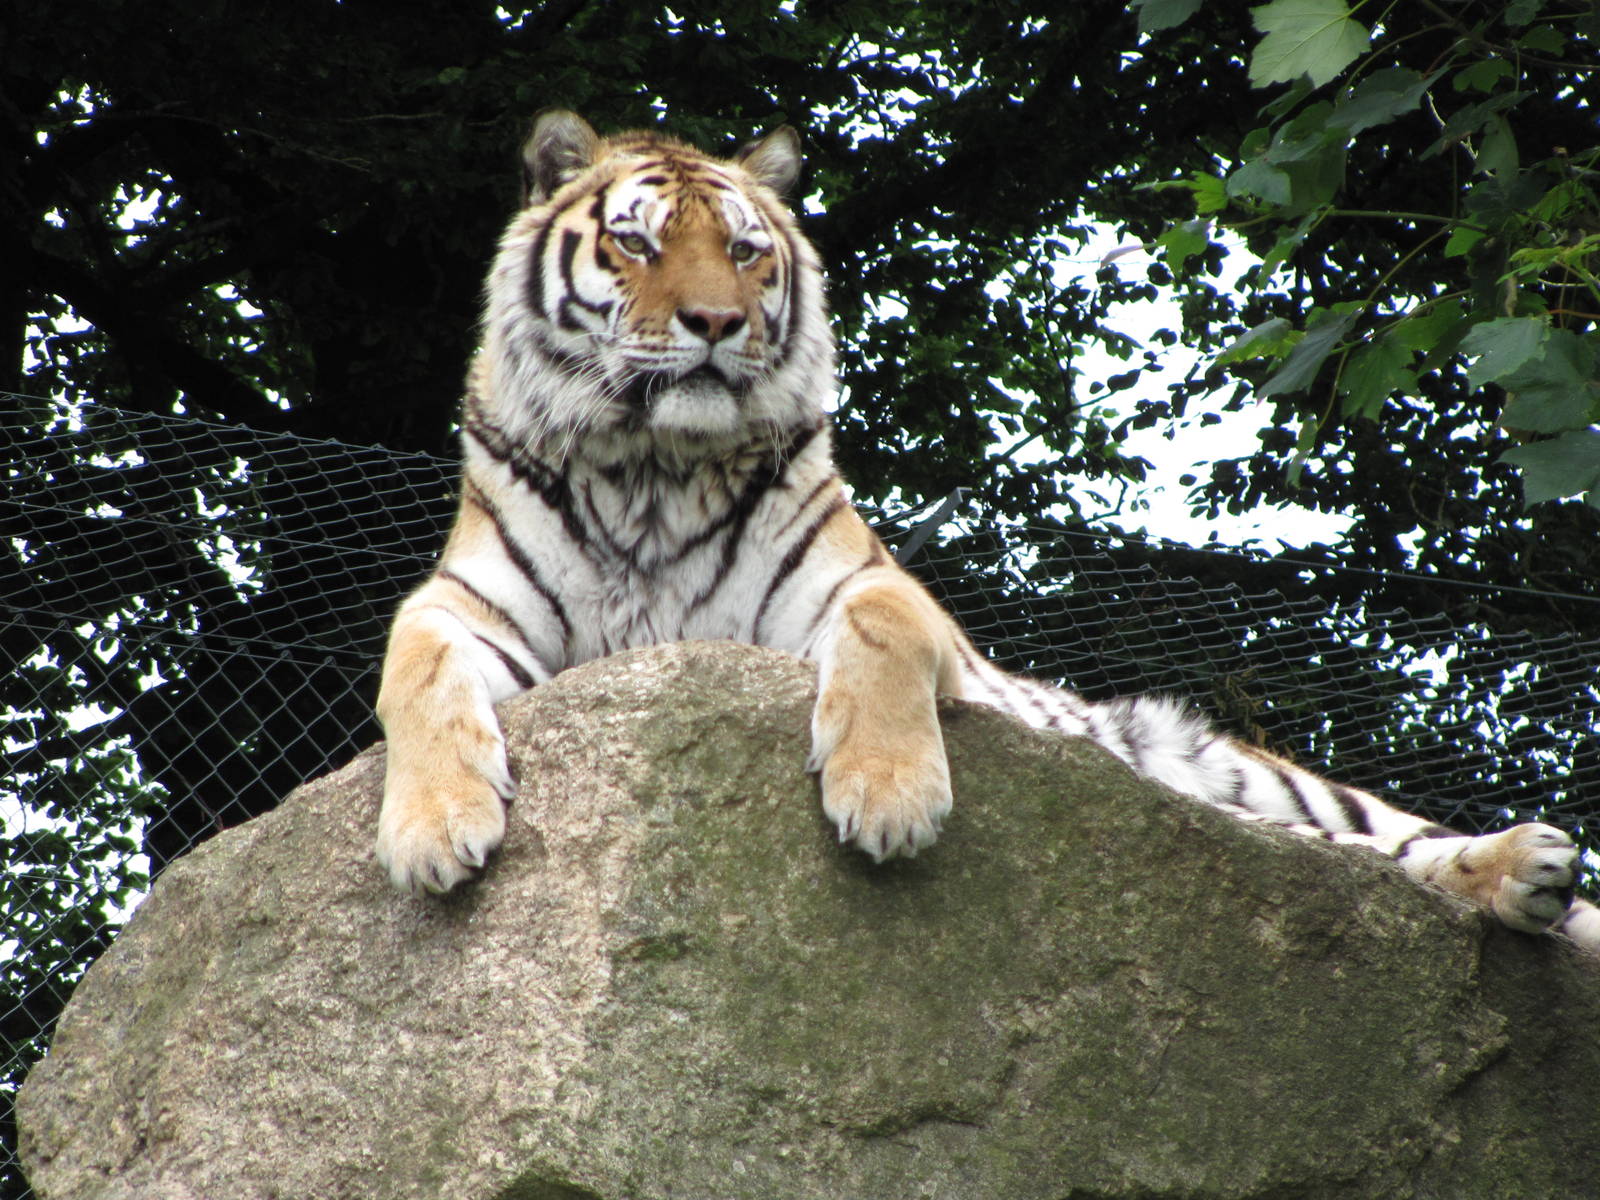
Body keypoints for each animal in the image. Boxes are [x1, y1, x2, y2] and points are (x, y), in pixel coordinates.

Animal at [374, 109, 1600, 955]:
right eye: (635, 246)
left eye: (747, 251)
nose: (717, 323)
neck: (652, 469)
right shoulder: (467, 607)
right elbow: (413, 669)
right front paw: (435, 829)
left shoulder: (868, 595)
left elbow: (883, 631)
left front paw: (886, 796)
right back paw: (1523, 879)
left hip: (1276, 784)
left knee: (1380, 846)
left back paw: (1528, 860)